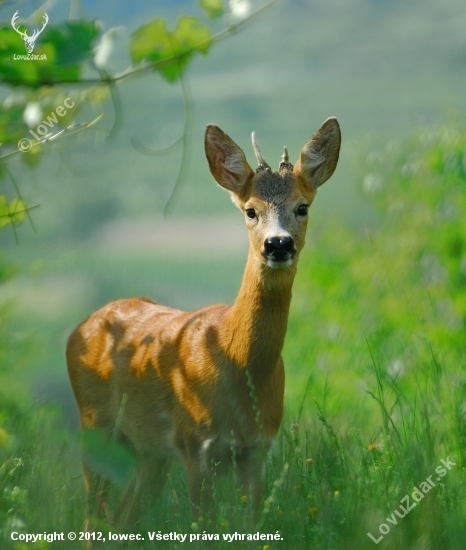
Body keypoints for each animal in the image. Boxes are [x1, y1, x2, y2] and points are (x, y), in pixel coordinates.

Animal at [65, 118, 340, 528]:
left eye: (302, 207)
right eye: (250, 210)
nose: (278, 244)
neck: (236, 360)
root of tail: (79, 328)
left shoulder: (257, 449)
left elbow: (252, 523)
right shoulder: (196, 444)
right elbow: (203, 524)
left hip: (149, 451)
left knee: (123, 516)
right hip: (95, 425)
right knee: (92, 517)